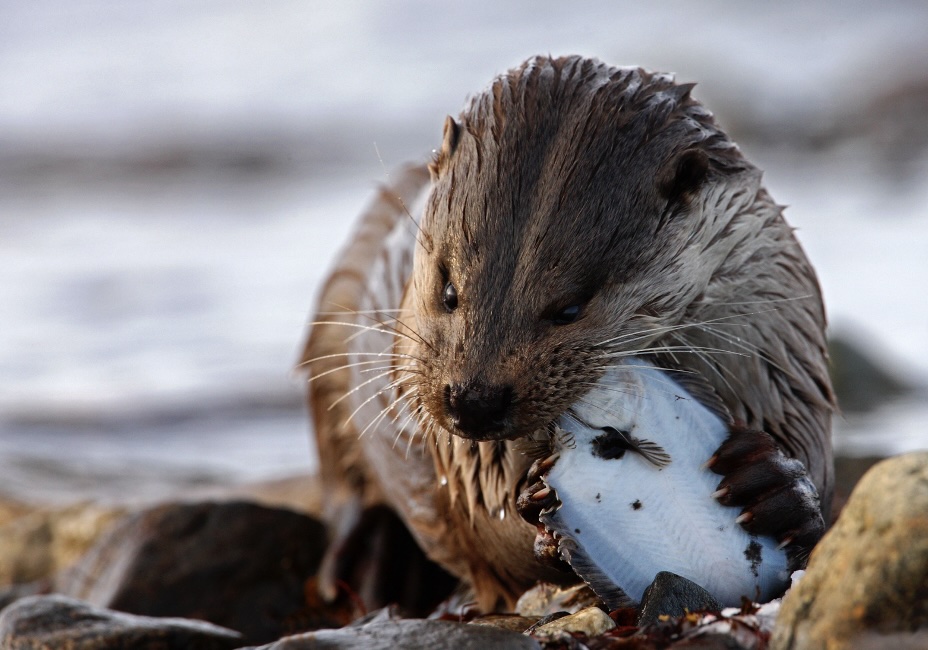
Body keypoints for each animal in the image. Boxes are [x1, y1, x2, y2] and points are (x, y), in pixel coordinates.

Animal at [301, 55, 834, 612]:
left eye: (571, 307)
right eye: (449, 291)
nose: (474, 400)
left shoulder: (776, 334)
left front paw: (776, 486)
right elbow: (483, 512)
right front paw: (533, 509)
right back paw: (375, 562)